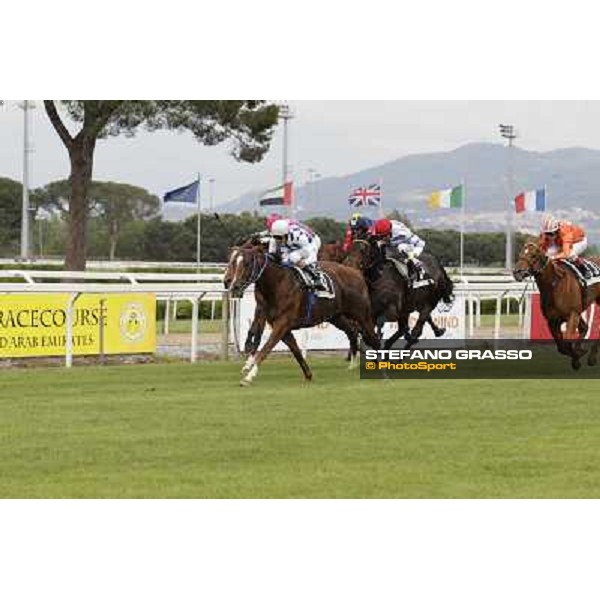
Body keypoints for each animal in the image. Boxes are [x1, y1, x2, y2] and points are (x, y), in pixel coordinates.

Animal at [223, 246, 378, 386]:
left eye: (247, 263)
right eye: (232, 262)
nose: (232, 284)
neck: (277, 284)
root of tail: (357, 273)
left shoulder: (282, 324)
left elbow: (267, 347)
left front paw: (249, 376)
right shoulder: (277, 323)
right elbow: (295, 350)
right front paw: (308, 375)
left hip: (362, 315)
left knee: (372, 337)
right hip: (335, 316)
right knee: (352, 331)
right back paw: (353, 363)